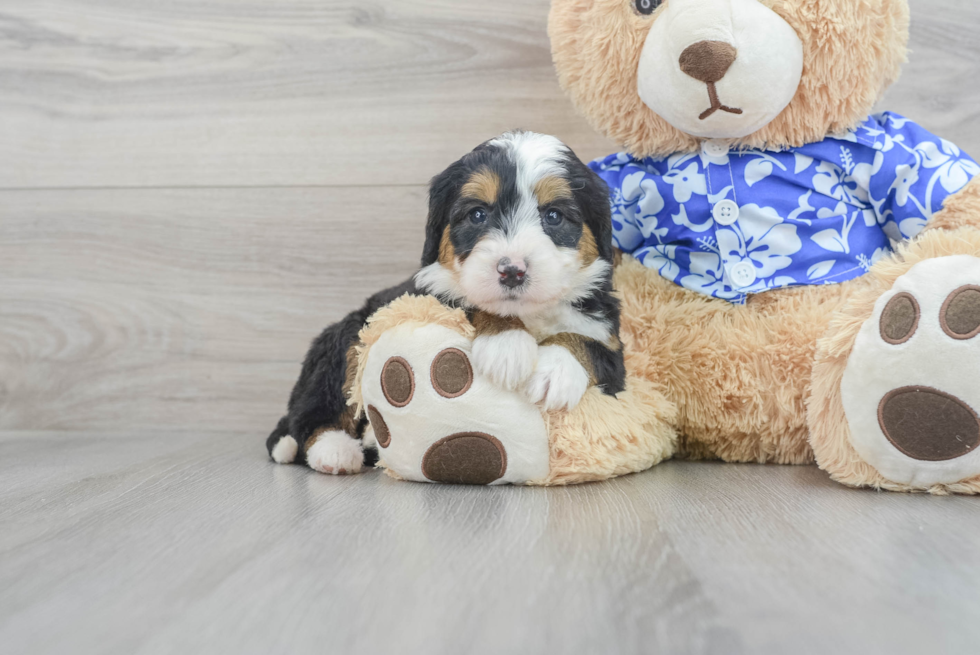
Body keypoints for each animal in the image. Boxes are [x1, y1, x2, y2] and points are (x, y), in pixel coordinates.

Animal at [264, 131, 624, 474]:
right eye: (478, 214)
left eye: (553, 215)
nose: (512, 271)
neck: (529, 314)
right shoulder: (428, 295)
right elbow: (470, 301)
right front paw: (506, 345)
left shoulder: (611, 342)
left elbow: (585, 343)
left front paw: (554, 373)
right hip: (345, 340)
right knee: (315, 411)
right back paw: (335, 451)